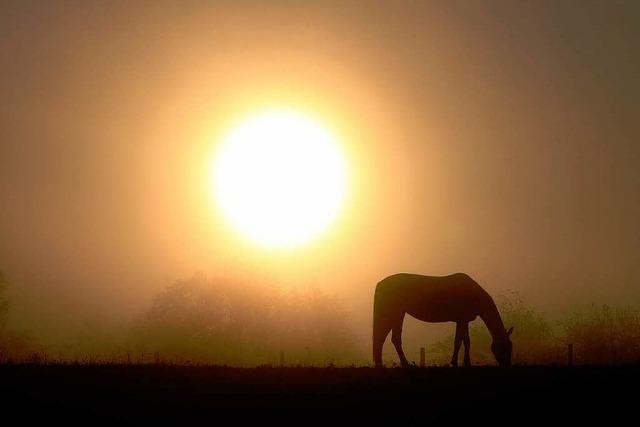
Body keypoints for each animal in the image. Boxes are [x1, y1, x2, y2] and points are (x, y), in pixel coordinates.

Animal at [372, 274, 512, 368]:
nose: (507, 365)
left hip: (398, 315)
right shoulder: (462, 320)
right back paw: (395, 364)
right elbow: (460, 341)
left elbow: (464, 341)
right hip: (394, 314)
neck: (474, 294)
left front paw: (463, 362)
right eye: (505, 347)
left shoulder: (463, 320)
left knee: (390, 338)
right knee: (383, 337)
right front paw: (458, 362)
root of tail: (380, 283)